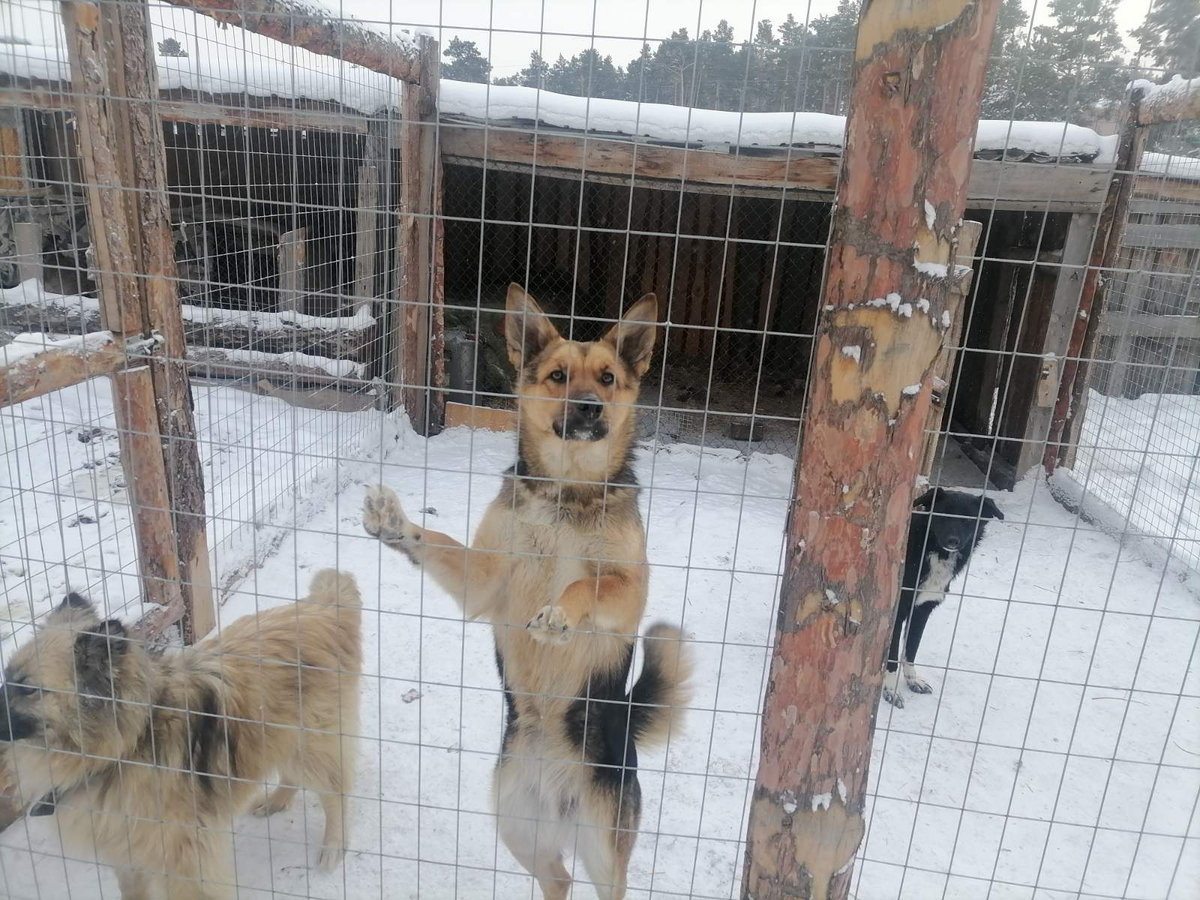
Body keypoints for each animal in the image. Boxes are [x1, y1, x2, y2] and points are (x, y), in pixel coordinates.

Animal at [0, 573, 360, 897]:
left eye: (28, 689)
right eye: (6, 678)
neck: (130, 746)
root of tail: (320, 610)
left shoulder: (184, 858)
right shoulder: (127, 854)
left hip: (312, 746)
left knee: (336, 796)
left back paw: (332, 848)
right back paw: (276, 801)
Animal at [360, 283, 691, 900]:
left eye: (607, 378)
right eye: (559, 376)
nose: (589, 407)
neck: (567, 490)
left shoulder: (630, 591)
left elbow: (586, 581)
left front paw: (560, 617)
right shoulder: (486, 580)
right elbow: (436, 541)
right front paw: (396, 524)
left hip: (604, 848)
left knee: (599, 881)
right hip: (517, 827)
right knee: (556, 877)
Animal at [883, 489, 1003, 710]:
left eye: (969, 520)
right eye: (944, 514)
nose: (953, 541)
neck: (934, 553)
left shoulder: (922, 610)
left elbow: (912, 648)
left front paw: (913, 680)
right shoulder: (895, 613)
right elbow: (892, 656)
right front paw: (890, 691)